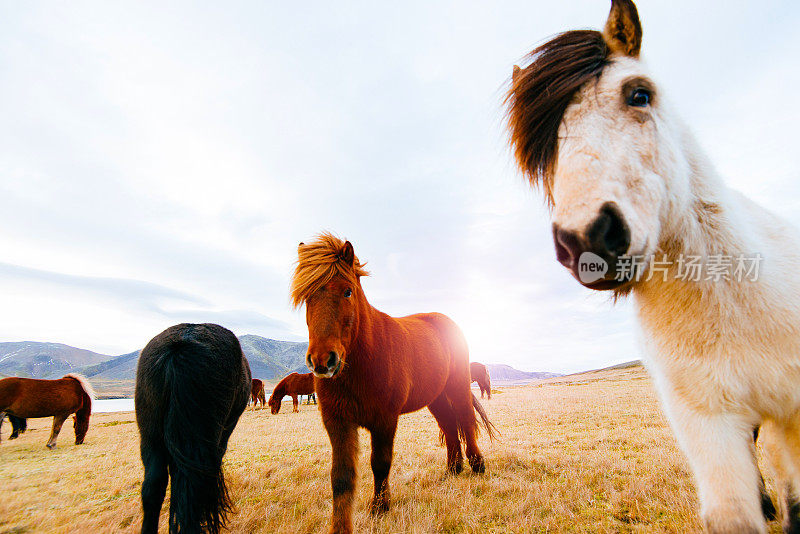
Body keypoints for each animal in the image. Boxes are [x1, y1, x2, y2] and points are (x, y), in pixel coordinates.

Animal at [290, 234, 496, 534]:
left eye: (347, 291)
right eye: (307, 297)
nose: (322, 361)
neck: (361, 362)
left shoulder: (385, 420)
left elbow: (380, 463)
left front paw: (380, 507)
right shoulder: (337, 422)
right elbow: (341, 477)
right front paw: (340, 526)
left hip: (457, 387)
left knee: (466, 421)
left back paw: (477, 465)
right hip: (435, 398)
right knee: (449, 424)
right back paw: (453, 470)